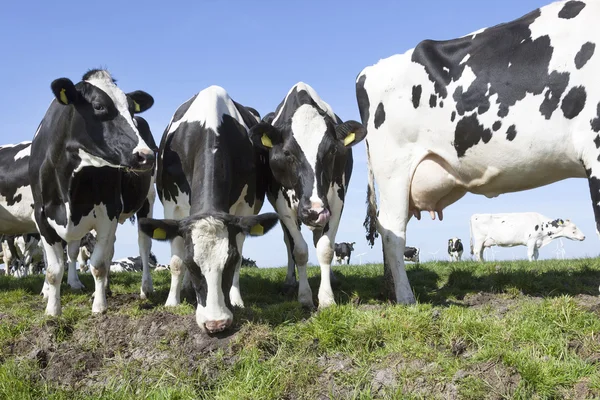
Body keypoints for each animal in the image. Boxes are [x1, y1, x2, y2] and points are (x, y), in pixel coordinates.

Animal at [29, 71, 156, 316]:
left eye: (132, 110)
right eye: (98, 106)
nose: (146, 155)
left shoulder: (109, 210)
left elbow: (97, 265)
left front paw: (99, 306)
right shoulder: (41, 215)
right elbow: (54, 270)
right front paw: (52, 310)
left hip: (148, 199)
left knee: (143, 245)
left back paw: (145, 288)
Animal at [356, 0, 600, 304]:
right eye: (574, 228)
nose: (582, 238)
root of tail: (369, 70)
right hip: (393, 170)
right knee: (392, 232)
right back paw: (405, 298)